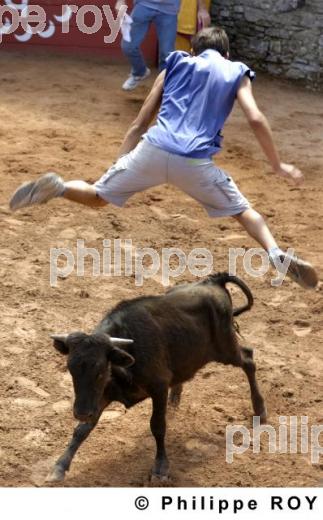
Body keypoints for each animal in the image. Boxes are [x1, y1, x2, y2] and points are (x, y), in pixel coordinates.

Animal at [46, 274, 268, 482]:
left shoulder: (158, 387)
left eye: (100, 370)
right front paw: (59, 466)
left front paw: (160, 467)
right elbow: (82, 430)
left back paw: (260, 409)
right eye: (71, 369)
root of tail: (213, 281)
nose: (81, 412)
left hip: (226, 349)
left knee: (249, 359)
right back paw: (176, 398)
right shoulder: (103, 395)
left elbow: (158, 426)